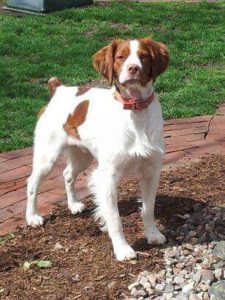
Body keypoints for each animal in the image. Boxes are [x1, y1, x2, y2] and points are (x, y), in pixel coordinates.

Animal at [25, 38, 169, 260]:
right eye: (121, 57)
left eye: (144, 56)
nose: (133, 68)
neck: (135, 111)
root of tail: (59, 88)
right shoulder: (108, 175)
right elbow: (115, 218)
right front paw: (122, 249)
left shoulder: (151, 170)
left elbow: (148, 209)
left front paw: (152, 234)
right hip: (47, 155)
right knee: (33, 182)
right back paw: (32, 216)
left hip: (82, 155)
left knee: (67, 174)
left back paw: (74, 204)